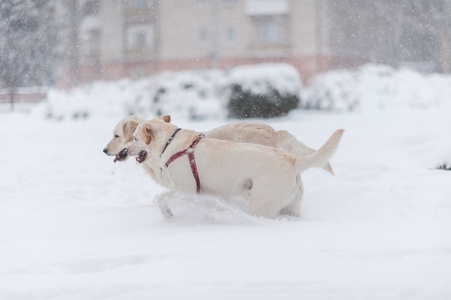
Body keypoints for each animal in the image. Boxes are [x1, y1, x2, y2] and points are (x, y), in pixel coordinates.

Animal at [127, 115, 346, 218]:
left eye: (135, 138)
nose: (127, 150)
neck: (169, 142)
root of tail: (292, 160)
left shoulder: (187, 189)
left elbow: (161, 197)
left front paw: (167, 213)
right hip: (290, 206)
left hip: (261, 204)